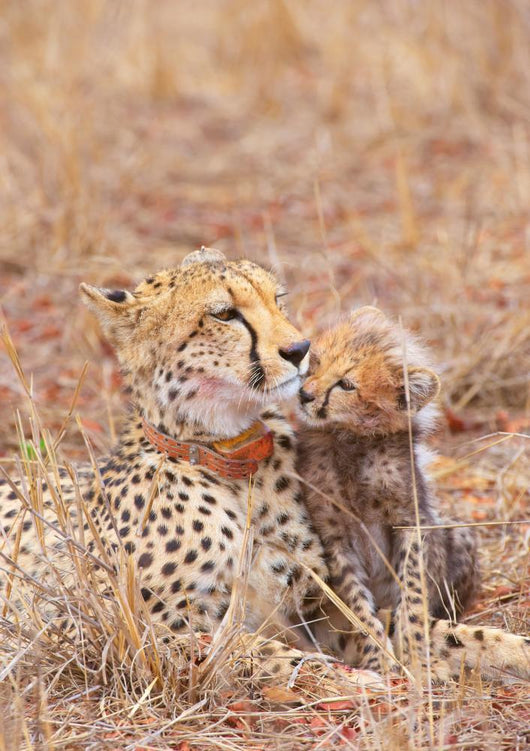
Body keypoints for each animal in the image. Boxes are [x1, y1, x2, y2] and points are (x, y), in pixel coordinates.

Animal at [0, 248, 374, 690]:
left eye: (277, 298)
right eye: (224, 314)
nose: (300, 349)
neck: (230, 457)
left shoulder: (311, 603)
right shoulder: (99, 627)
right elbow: (255, 650)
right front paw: (354, 681)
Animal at [296, 306, 530, 682]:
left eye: (346, 384)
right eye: (314, 362)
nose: (304, 394)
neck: (354, 439)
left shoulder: (411, 520)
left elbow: (414, 593)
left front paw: (417, 653)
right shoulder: (333, 536)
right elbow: (358, 606)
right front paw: (379, 658)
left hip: (458, 533)